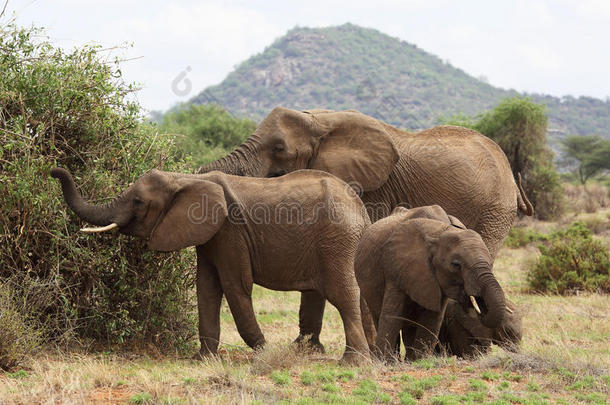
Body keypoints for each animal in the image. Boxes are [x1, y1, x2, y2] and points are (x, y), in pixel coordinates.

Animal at [50, 166, 368, 362]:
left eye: (138, 202)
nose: (53, 171)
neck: (183, 179)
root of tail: (360, 207)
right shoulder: (209, 235)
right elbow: (206, 287)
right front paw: (202, 359)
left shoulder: (229, 230)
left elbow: (234, 285)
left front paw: (263, 352)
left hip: (336, 239)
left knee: (343, 294)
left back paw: (353, 362)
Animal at [354, 205, 506, 360]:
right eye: (456, 264)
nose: (477, 305)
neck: (439, 232)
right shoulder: (396, 266)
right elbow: (391, 316)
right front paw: (387, 362)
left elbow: (432, 320)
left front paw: (418, 361)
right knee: (379, 316)